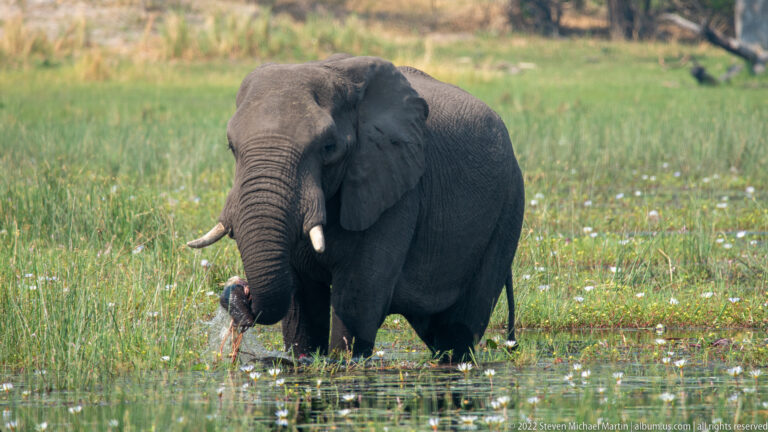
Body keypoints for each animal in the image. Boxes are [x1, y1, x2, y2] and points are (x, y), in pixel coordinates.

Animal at [188, 54, 525, 361]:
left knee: (458, 330)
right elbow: (301, 301)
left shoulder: (397, 189)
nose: (239, 289)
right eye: (232, 147)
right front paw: (304, 361)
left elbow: (358, 297)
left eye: (328, 147)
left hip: (508, 209)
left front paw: (343, 365)